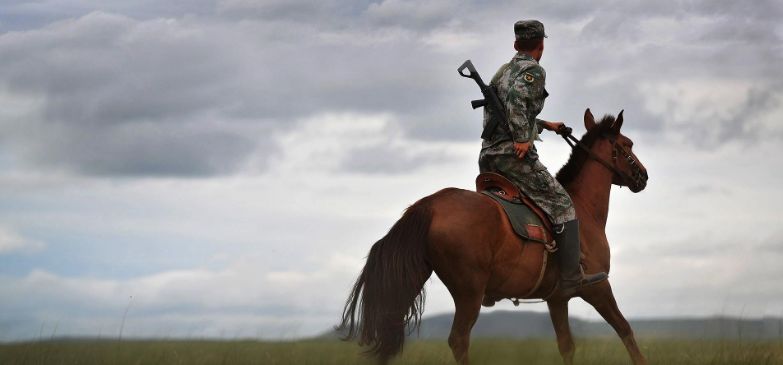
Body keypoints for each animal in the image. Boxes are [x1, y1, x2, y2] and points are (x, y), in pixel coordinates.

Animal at [340, 109, 652, 364]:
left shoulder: (557, 299)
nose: (644, 176)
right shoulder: (597, 288)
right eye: (627, 145)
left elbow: (567, 346)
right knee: (458, 340)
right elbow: (626, 331)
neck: (583, 207)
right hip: (469, 293)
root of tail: (429, 204)